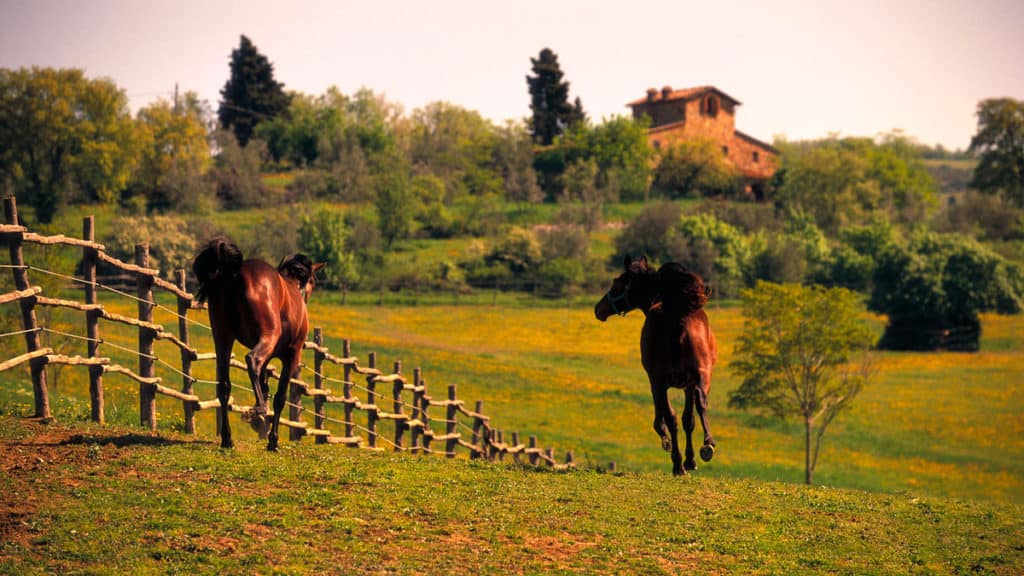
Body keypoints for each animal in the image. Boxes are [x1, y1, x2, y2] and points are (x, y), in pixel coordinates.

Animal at [192, 237, 324, 451]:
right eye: (313, 281)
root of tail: (235, 272)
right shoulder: (292, 356)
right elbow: (279, 397)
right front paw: (273, 440)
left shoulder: (268, 356)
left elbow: (264, 385)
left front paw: (262, 425)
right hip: (266, 338)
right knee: (252, 361)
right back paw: (257, 410)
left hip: (223, 338)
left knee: (224, 387)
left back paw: (227, 438)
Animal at [594, 256, 718, 476]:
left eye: (616, 284)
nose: (599, 309)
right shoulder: (686, 385)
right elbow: (688, 420)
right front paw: (690, 459)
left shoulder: (657, 382)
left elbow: (668, 420)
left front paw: (673, 448)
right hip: (702, 375)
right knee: (699, 402)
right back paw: (706, 446)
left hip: (660, 381)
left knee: (672, 417)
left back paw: (678, 463)